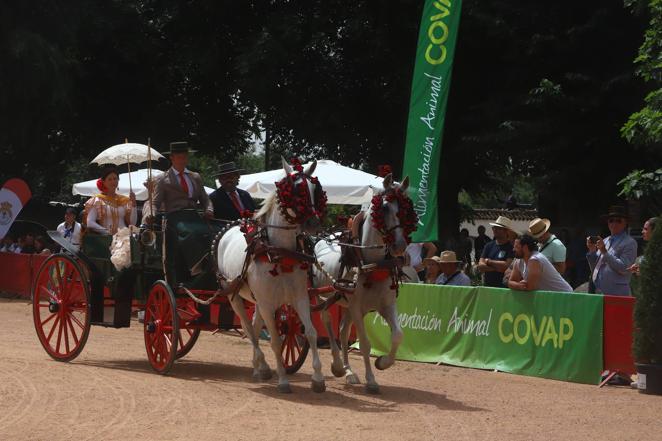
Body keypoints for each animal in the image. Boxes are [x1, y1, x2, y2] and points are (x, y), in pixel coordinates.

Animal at [217, 158, 328, 392]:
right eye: (296, 191)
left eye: (315, 189)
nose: (313, 224)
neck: (279, 251)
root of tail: (229, 229)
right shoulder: (268, 304)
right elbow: (276, 340)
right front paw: (283, 380)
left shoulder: (300, 297)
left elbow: (311, 332)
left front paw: (318, 378)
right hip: (234, 296)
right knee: (248, 328)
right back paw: (263, 366)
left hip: (258, 300)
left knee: (254, 325)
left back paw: (259, 367)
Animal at [314, 174, 412, 394]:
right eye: (384, 208)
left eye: (405, 209)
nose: (400, 246)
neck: (371, 263)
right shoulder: (357, 307)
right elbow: (366, 344)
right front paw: (372, 380)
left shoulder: (386, 305)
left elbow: (398, 335)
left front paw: (382, 362)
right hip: (322, 296)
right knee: (326, 321)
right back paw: (337, 365)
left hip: (346, 304)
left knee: (343, 332)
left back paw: (349, 372)